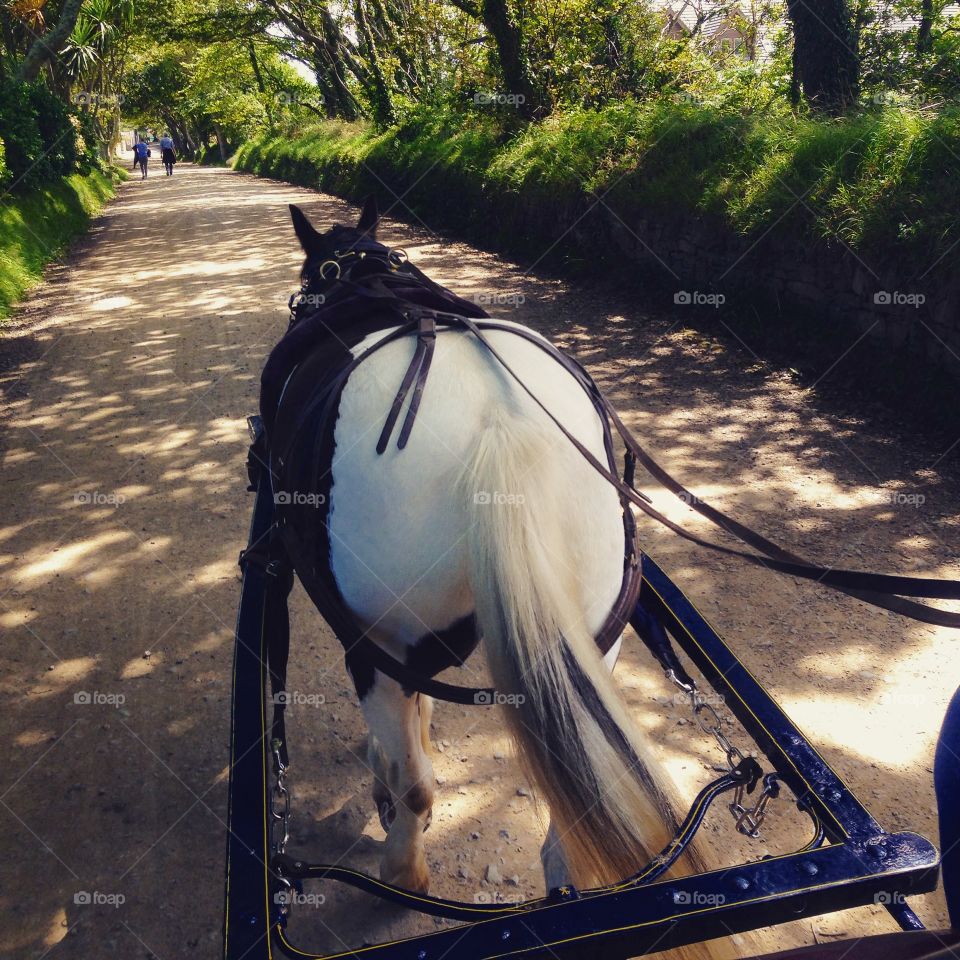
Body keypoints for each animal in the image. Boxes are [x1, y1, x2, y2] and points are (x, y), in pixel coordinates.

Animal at [266, 197, 732, 960]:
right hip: (594, 639)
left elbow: (409, 743)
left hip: (375, 639)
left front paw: (386, 772)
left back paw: (402, 865)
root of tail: (498, 426)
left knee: (417, 784)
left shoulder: (381, 644)